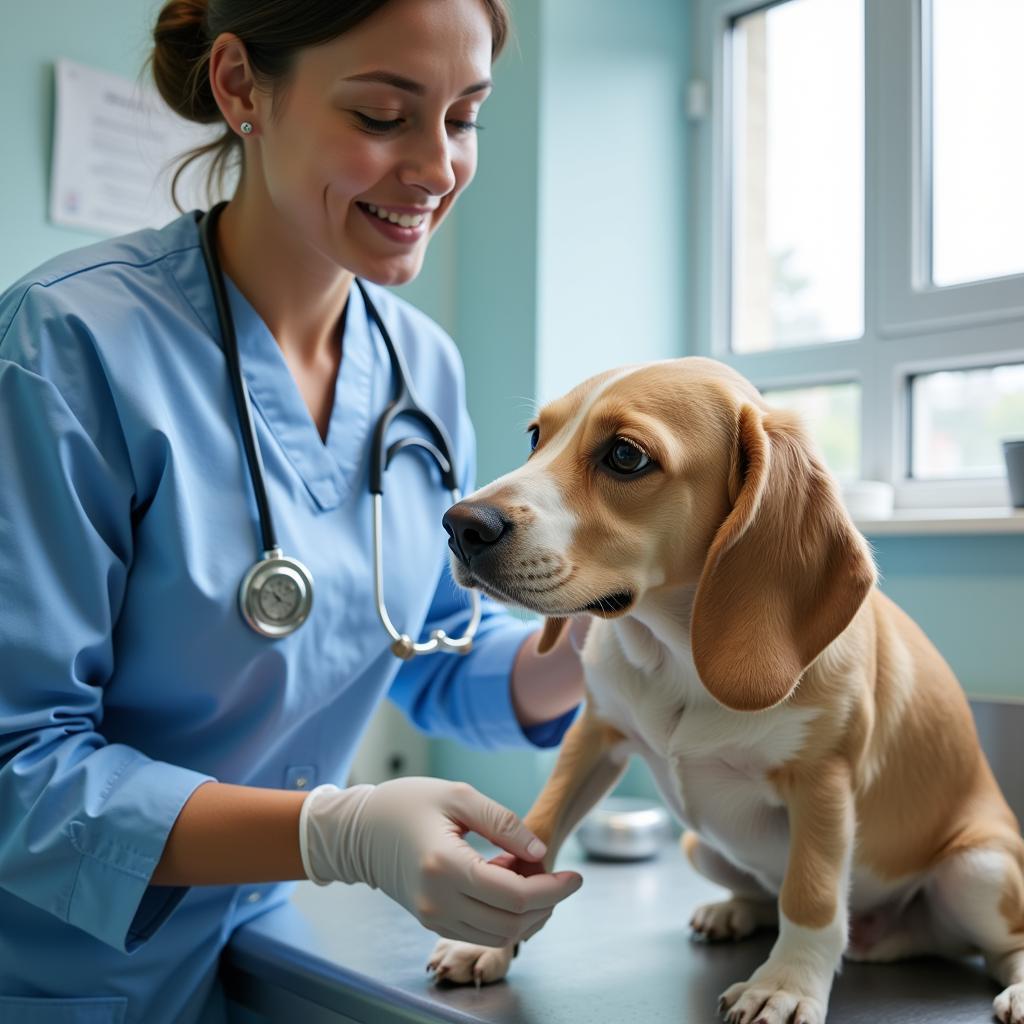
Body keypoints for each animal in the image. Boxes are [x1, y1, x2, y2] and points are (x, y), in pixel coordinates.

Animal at [425, 358, 1024, 1024]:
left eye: (626, 456)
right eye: (536, 437)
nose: (459, 525)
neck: (677, 657)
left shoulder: (823, 781)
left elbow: (811, 895)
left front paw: (785, 984)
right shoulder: (594, 735)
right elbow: (541, 828)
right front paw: (491, 934)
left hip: (978, 870)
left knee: (1002, 944)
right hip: (699, 846)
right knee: (763, 893)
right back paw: (735, 911)